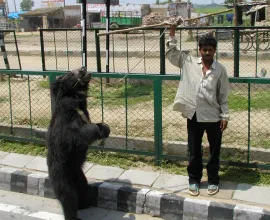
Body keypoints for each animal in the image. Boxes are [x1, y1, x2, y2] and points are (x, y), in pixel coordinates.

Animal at [47, 67, 110, 220]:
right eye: (71, 73)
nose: (83, 68)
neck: (75, 98)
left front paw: (105, 128)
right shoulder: (66, 118)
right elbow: (75, 136)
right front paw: (96, 129)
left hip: (78, 173)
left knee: (82, 186)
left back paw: (84, 204)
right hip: (61, 174)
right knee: (67, 195)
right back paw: (74, 215)